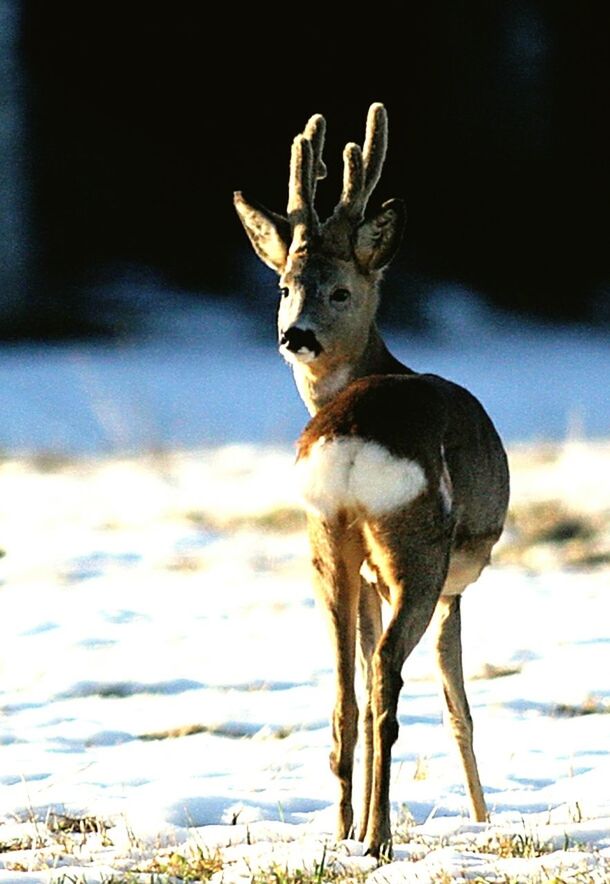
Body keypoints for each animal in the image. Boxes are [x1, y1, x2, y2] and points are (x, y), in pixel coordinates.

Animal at [233, 103, 508, 856]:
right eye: (285, 285)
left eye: (338, 288)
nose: (295, 334)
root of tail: (352, 442)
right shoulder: (455, 584)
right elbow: (458, 702)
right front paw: (484, 817)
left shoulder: (360, 576)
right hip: (418, 546)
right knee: (387, 679)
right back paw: (380, 836)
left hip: (327, 542)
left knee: (343, 692)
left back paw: (345, 832)